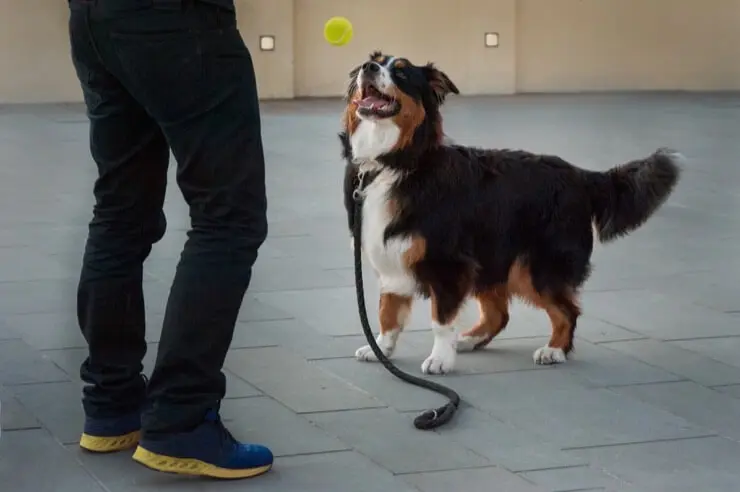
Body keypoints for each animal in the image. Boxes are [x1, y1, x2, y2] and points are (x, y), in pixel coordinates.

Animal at [342, 52, 684, 374]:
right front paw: (381, 349)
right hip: (493, 257)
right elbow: (387, 312)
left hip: (535, 266)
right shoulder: (390, 253)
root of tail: (580, 174)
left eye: (401, 72)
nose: (368, 68)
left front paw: (440, 360)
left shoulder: (447, 263)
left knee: (567, 310)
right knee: (499, 313)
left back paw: (553, 350)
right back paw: (469, 340)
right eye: (374, 61)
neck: (394, 162)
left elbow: (440, 319)